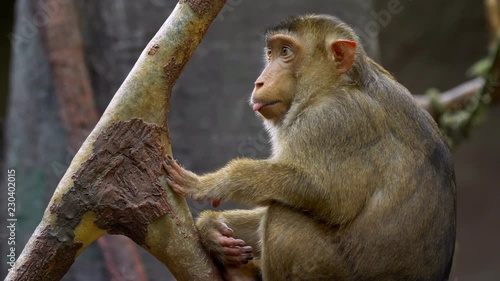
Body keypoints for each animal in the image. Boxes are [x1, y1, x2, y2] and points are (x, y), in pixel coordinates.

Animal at [162, 15, 456, 280]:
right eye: (271, 53)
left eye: (286, 52)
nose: (259, 81)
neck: (337, 84)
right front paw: (212, 230)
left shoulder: (335, 120)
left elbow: (328, 196)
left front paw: (215, 183)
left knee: (284, 214)